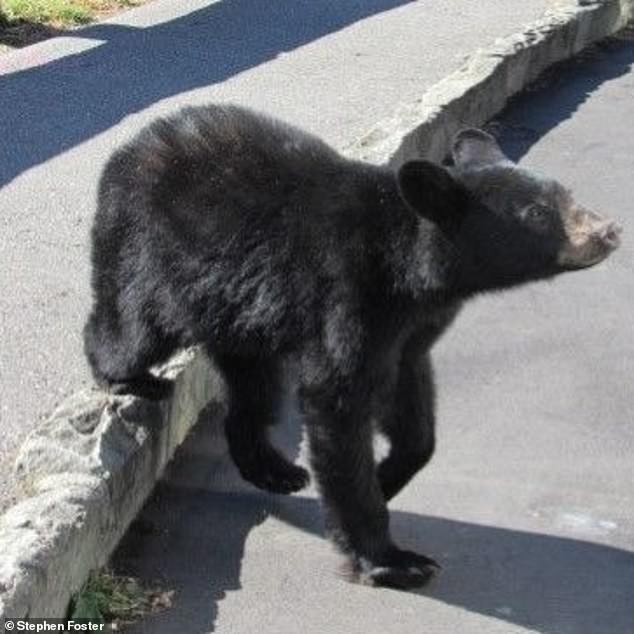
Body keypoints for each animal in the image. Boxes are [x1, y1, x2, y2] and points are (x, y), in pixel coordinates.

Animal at [82, 102, 616, 588]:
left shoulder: (411, 329)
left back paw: (274, 469)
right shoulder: (350, 294)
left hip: (238, 310)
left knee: (253, 385)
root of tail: (124, 153)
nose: (608, 230)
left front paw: (388, 474)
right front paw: (390, 559)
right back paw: (129, 377)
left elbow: (411, 406)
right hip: (153, 254)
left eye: (565, 193)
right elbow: (338, 401)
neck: (410, 269)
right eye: (537, 213)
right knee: (132, 324)